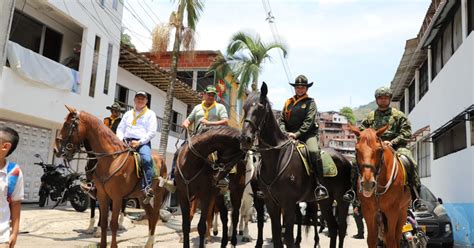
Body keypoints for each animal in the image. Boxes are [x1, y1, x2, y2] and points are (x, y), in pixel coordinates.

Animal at [55, 106, 168, 248]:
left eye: (67, 124)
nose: (56, 149)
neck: (111, 160)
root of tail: (162, 160)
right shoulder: (102, 195)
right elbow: (103, 222)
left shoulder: (117, 197)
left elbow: (113, 223)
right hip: (142, 198)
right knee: (151, 215)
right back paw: (149, 243)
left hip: (157, 196)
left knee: (155, 215)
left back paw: (148, 241)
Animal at [241, 82, 352, 247]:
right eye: (244, 108)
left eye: (260, 107)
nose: (245, 139)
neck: (276, 158)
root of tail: (345, 159)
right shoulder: (271, 203)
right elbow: (276, 236)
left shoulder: (288, 204)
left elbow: (288, 238)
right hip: (325, 201)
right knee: (333, 228)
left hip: (341, 200)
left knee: (342, 228)